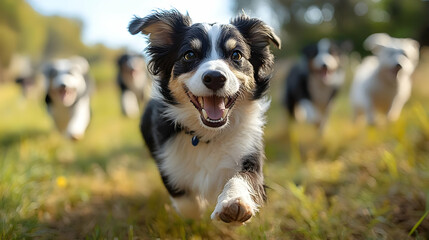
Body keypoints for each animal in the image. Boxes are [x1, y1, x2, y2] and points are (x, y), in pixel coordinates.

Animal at [128, 9, 280, 223]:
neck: (208, 134)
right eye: (189, 54)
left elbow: (244, 178)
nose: (215, 77)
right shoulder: (168, 162)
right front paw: (199, 212)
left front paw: (234, 202)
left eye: (236, 54)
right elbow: (187, 202)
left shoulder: (249, 152)